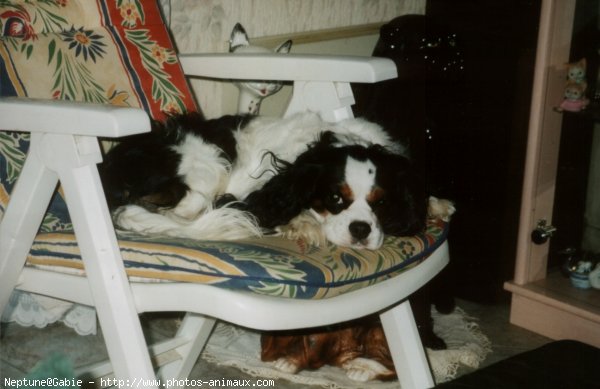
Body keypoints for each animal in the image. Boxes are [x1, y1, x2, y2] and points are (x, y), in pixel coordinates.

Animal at [99, 110, 446, 249]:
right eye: (335, 199)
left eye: (382, 202)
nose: (360, 230)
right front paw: (302, 224)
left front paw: (437, 204)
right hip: (208, 167)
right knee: (184, 212)